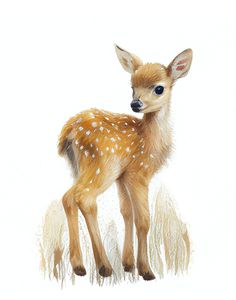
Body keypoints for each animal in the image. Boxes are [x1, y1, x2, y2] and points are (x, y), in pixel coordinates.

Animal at [58, 45, 192, 282]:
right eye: (132, 87)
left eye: (159, 88)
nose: (135, 103)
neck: (149, 139)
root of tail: (69, 132)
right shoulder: (138, 173)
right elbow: (144, 220)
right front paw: (146, 270)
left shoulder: (123, 177)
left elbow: (126, 212)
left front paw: (129, 264)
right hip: (102, 165)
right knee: (84, 198)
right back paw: (104, 267)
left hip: (81, 168)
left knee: (68, 197)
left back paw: (80, 266)